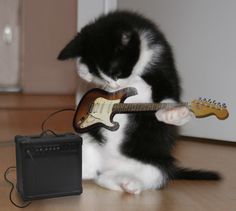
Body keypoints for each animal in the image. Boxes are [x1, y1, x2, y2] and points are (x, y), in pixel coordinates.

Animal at [58, 10, 220, 195]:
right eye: (99, 76)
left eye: (117, 72)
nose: (114, 86)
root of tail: (105, 166)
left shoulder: (164, 69)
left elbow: (167, 94)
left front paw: (173, 113)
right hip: (86, 143)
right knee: (94, 174)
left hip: (157, 166)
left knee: (148, 177)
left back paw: (130, 184)